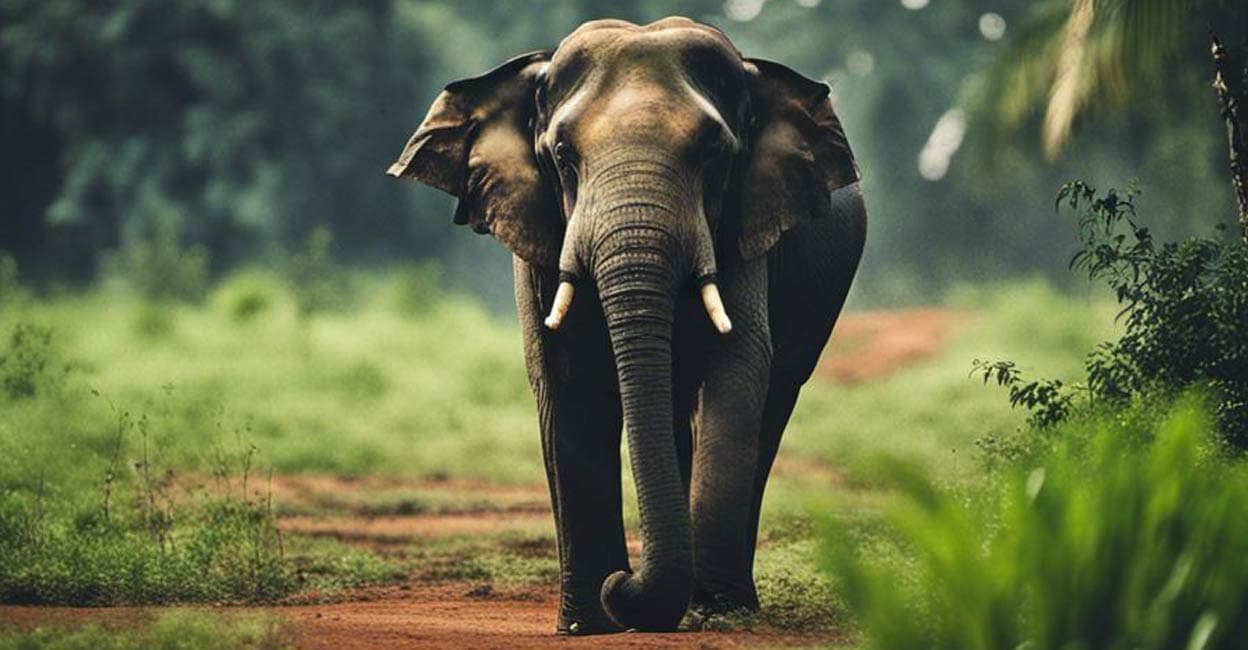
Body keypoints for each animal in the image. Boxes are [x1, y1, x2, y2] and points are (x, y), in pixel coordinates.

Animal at [387, 17, 865, 634]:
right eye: (562, 155)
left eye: (714, 154)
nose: (624, 582)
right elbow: (565, 377)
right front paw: (585, 624)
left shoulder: (750, 218)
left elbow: (735, 367)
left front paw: (709, 613)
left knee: (771, 403)